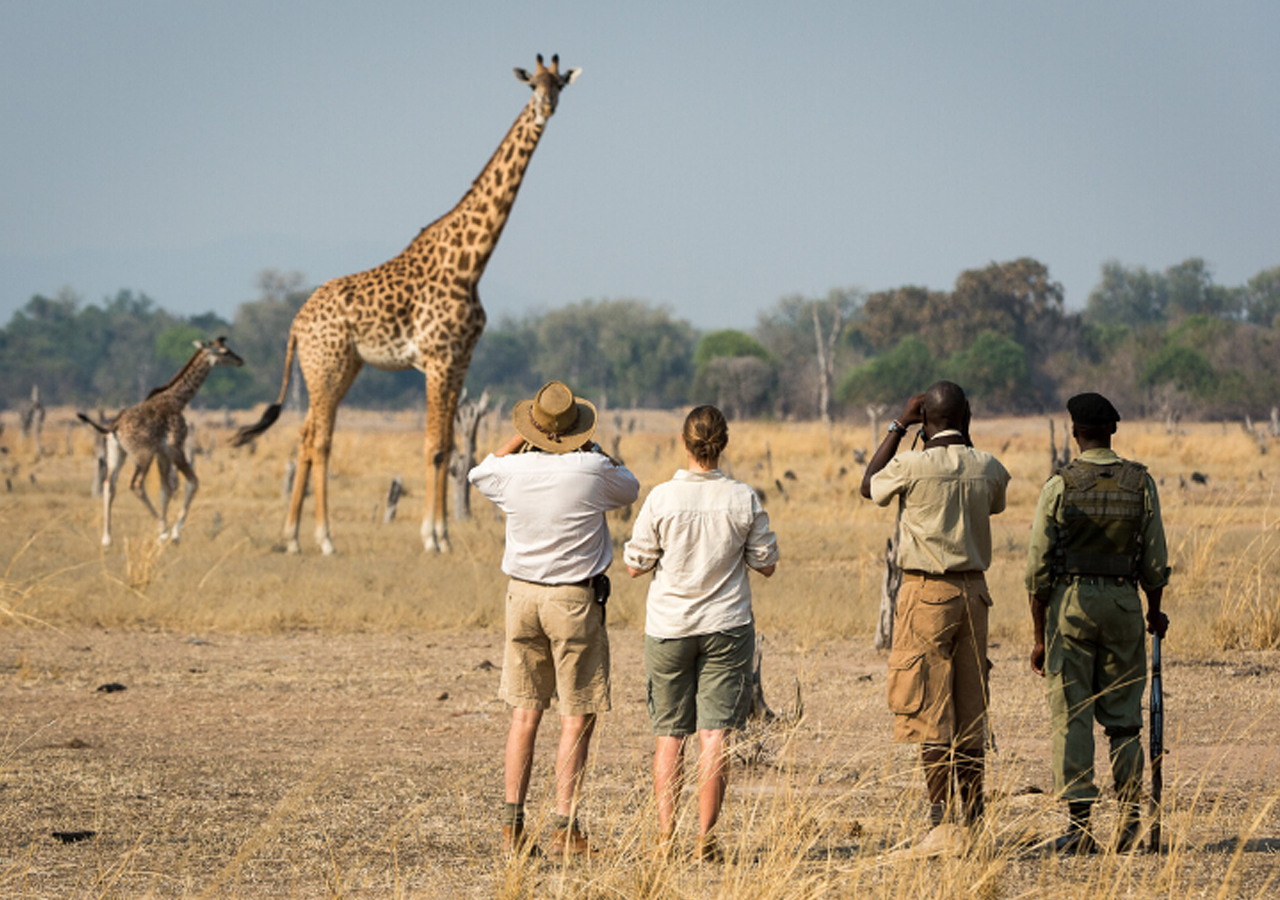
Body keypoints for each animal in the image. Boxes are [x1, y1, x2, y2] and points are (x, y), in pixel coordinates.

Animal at [78, 337, 244, 547]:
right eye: (225, 351)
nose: (240, 360)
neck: (177, 399)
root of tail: (114, 427)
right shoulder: (175, 447)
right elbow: (193, 482)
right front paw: (173, 533)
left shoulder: (161, 452)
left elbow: (164, 490)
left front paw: (164, 534)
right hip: (142, 455)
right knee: (136, 484)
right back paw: (162, 529)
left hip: (116, 453)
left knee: (109, 484)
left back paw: (107, 539)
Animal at [233, 54, 580, 555]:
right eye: (533, 84)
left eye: (560, 85)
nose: (546, 108)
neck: (471, 263)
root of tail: (296, 324)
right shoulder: (437, 359)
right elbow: (434, 447)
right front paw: (432, 537)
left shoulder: (460, 361)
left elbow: (451, 446)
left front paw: (444, 534)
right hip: (325, 368)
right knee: (320, 441)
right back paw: (324, 537)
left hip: (339, 369)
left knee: (304, 436)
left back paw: (292, 536)